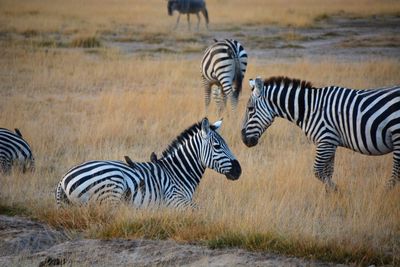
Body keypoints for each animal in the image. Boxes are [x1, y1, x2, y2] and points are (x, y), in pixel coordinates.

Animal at [55, 119, 241, 209]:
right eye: (217, 146)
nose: (239, 170)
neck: (178, 173)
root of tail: (63, 179)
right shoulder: (174, 199)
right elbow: (201, 210)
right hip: (112, 185)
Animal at [241, 76, 400, 192]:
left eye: (250, 109)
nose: (243, 140)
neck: (310, 109)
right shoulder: (331, 142)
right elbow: (328, 172)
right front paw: (329, 196)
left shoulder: (325, 140)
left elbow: (317, 171)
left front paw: (337, 191)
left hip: (397, 136)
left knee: (396, 172)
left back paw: (385, 193)